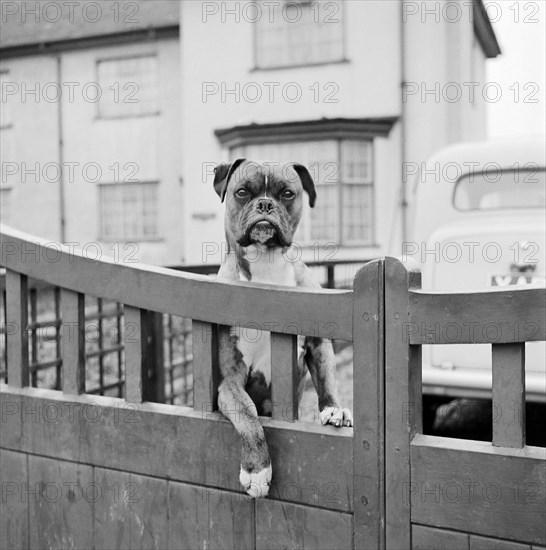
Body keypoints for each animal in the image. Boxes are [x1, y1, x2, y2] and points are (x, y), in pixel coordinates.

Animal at [210, 158, 350, 500]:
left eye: (287, 193)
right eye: (242, 192)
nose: (264, 204)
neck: (267, 267)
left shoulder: (317, 341)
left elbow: (327, 378)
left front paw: (333, 410)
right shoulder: (230, 381)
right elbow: (248, 414)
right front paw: (257, 471)